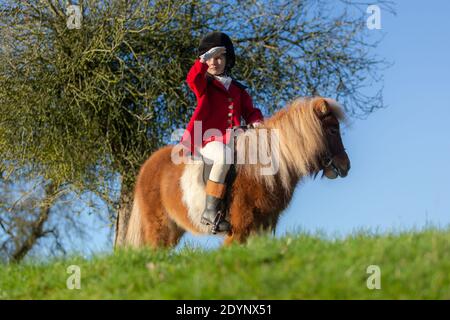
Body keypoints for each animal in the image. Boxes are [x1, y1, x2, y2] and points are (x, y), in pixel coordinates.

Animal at [125, 96, 350, 249]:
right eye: (332, 129)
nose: (346, 166)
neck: (259, 171)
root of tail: (147, 166)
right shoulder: (239, 230)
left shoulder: (263, 228)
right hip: (159, 228)